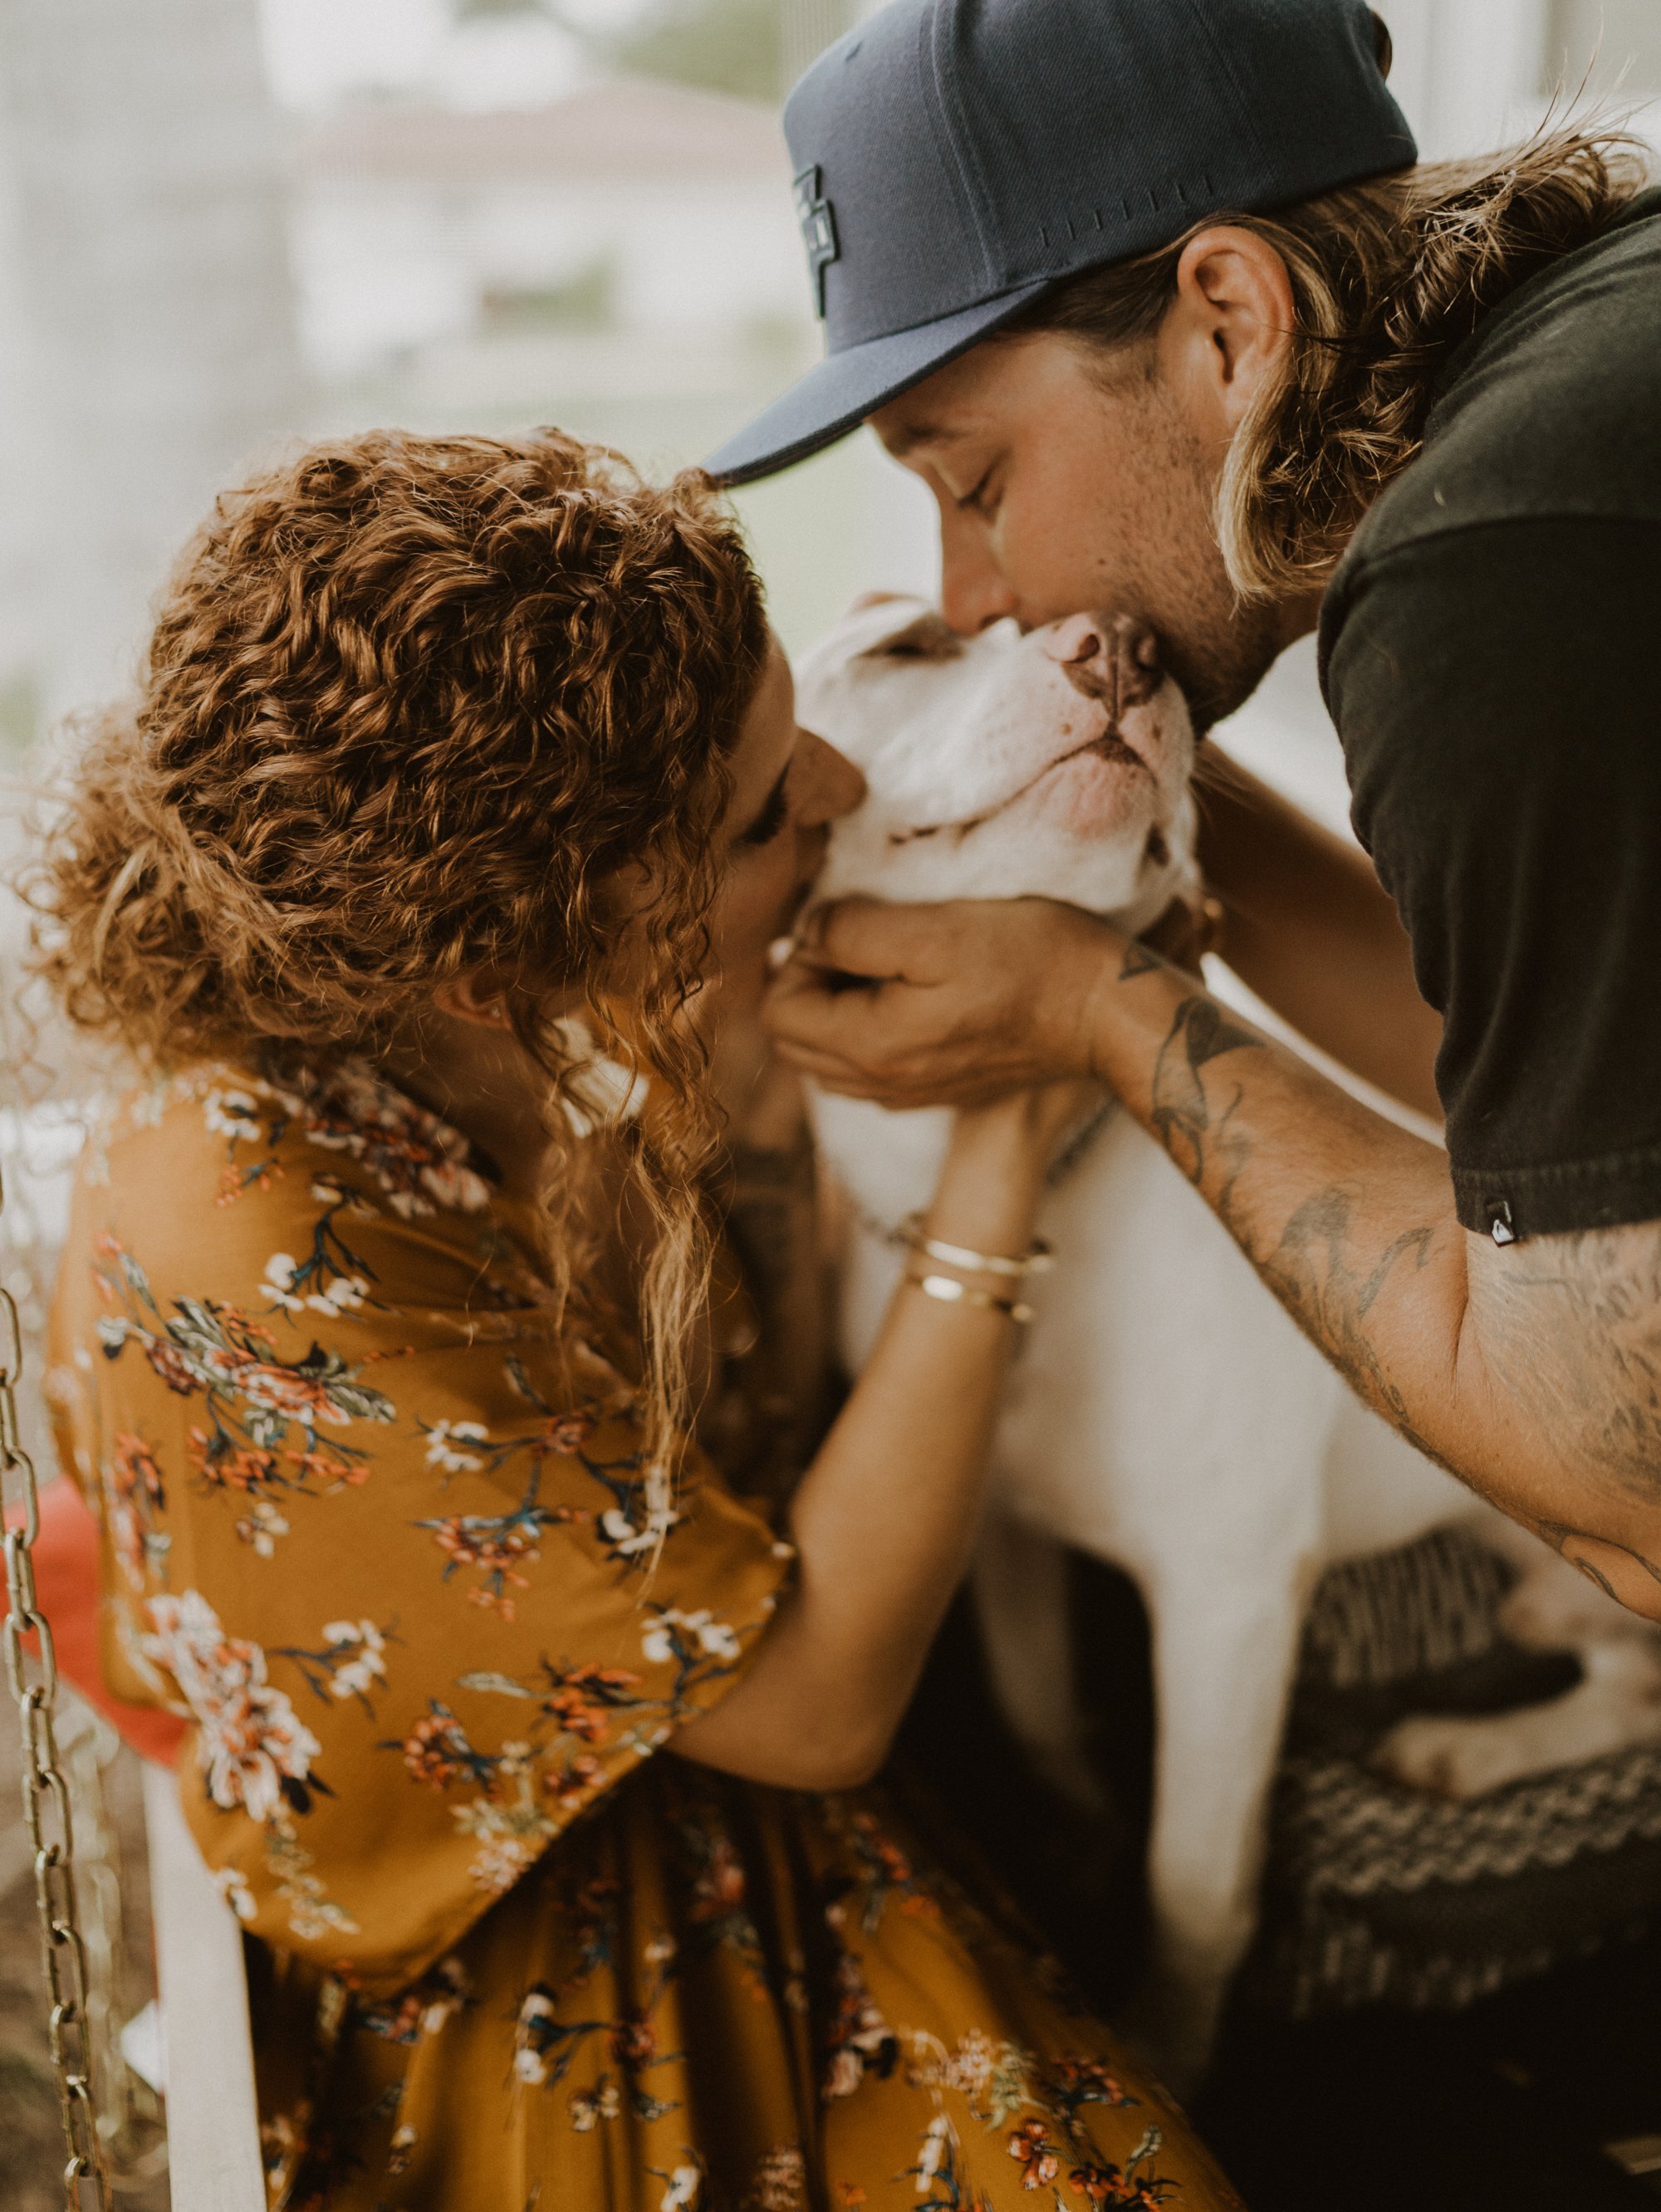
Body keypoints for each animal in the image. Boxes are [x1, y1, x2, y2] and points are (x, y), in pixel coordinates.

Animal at [796, 597, 1661, 2079]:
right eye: (904, 647)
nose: (1123, 644)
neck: (1027, 1194)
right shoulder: (1002, 1530)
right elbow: (1034, 1705)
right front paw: (1074, 1827)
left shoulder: (1228, 1605)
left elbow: (1196, 1883)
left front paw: (1164, 2044)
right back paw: (1472, 1747)